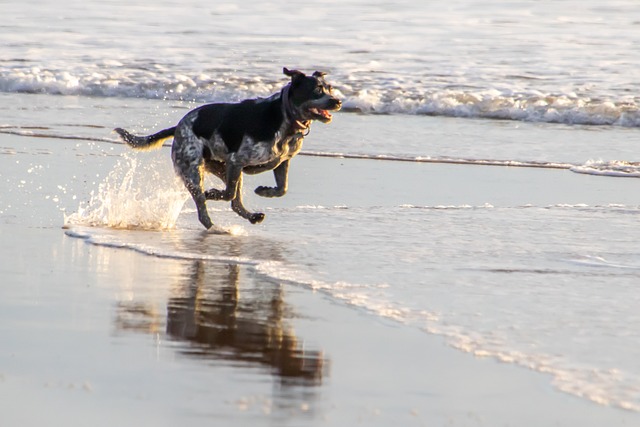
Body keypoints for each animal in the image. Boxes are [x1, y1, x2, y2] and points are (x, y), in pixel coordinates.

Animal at [117, 67, 342, 231]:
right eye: (317, 90)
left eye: (330, 88)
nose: (338, 101)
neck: (285, 118)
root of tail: (178, 127)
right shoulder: (237, 160)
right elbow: (228, 194)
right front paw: (213, 194)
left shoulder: (281, 161)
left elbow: (282, 189)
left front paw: (266, 191)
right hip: (194, 170)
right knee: (206, 205)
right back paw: (215, 225)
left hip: (223, 169)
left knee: (235, 203)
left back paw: (251, 216)